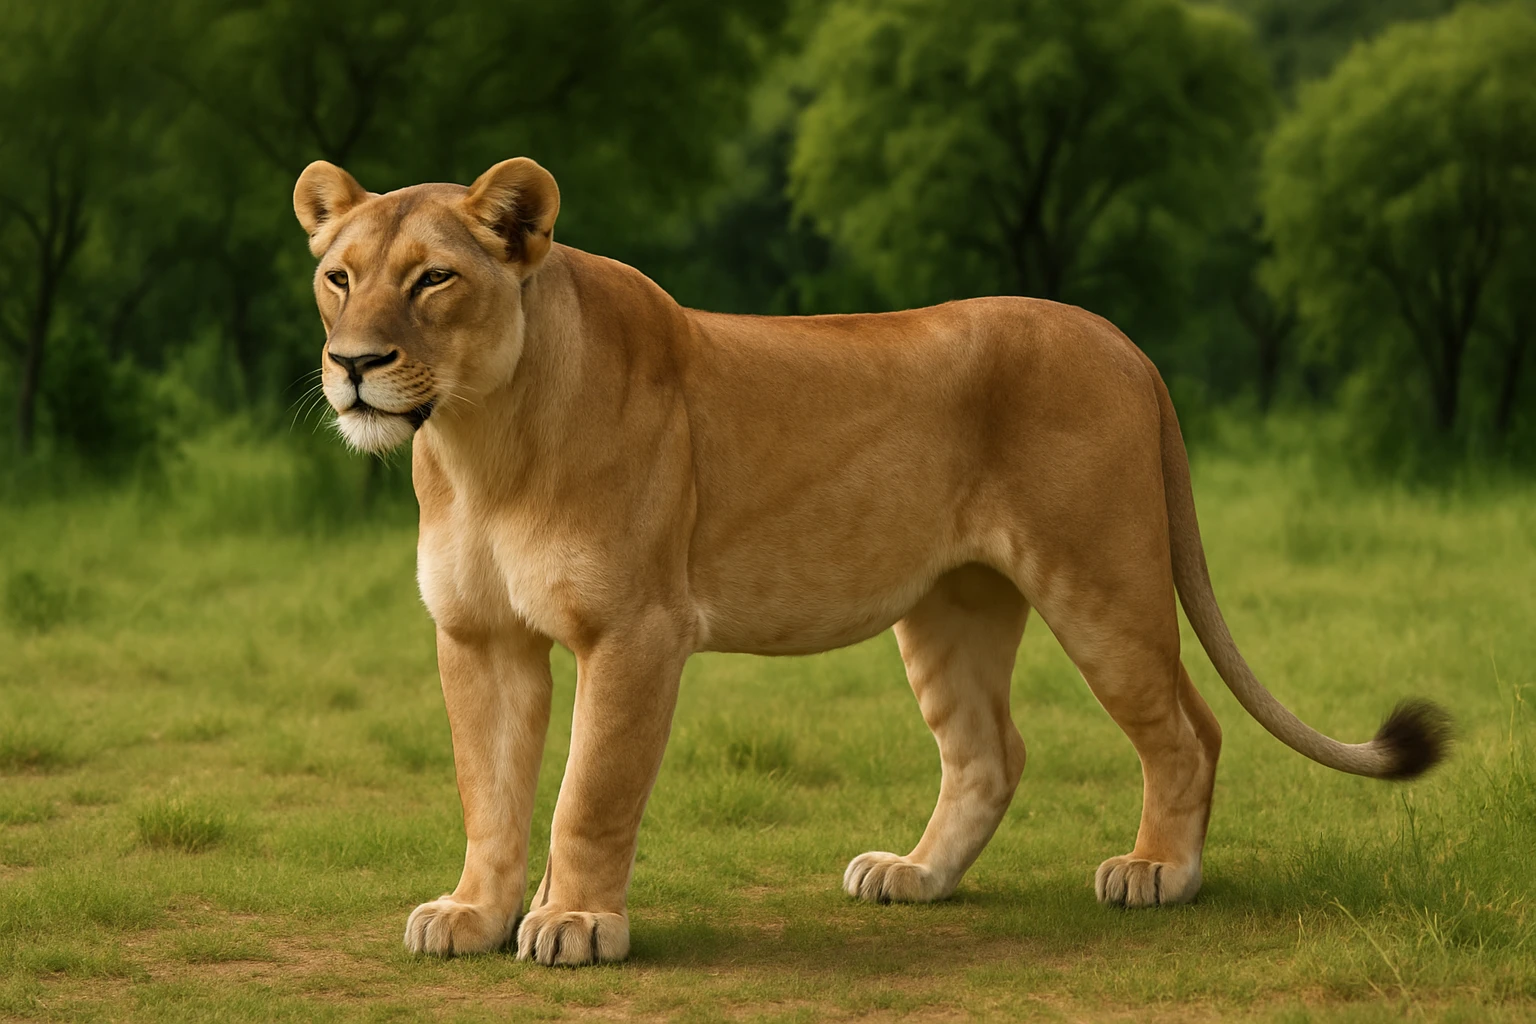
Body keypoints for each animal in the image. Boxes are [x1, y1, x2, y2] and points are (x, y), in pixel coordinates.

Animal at [292, 156, 1450, 966]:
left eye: (434, 280)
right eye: (337, 278)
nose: (353, 365)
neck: (479, 442)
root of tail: (1124, 342)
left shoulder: (636, 630)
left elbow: (591, 790)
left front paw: (575, 923)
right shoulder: (478, 635)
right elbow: (488, 791)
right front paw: (474, 913)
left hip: (1102, 580)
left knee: (1186, 728)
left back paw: (1159, 871)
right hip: (949, 606)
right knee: (991, 750)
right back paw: (916, 875)